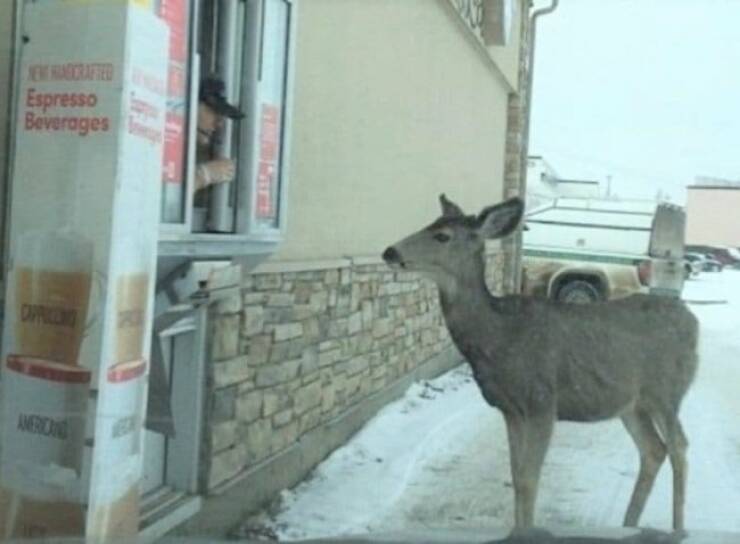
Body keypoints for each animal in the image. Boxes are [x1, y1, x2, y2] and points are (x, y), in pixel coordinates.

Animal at [382, 195, 699, 532]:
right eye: (429, 224)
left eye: (442, 236)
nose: (390, 252)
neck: (497, 338)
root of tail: (693, 322)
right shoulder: (510, 410)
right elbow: (516, 477)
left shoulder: (542, 402)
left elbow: (529, 479)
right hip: (631, 403)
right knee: (654, 449)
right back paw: (628, 525)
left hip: (666, 391)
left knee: (679, 446)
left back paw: (678, 527)